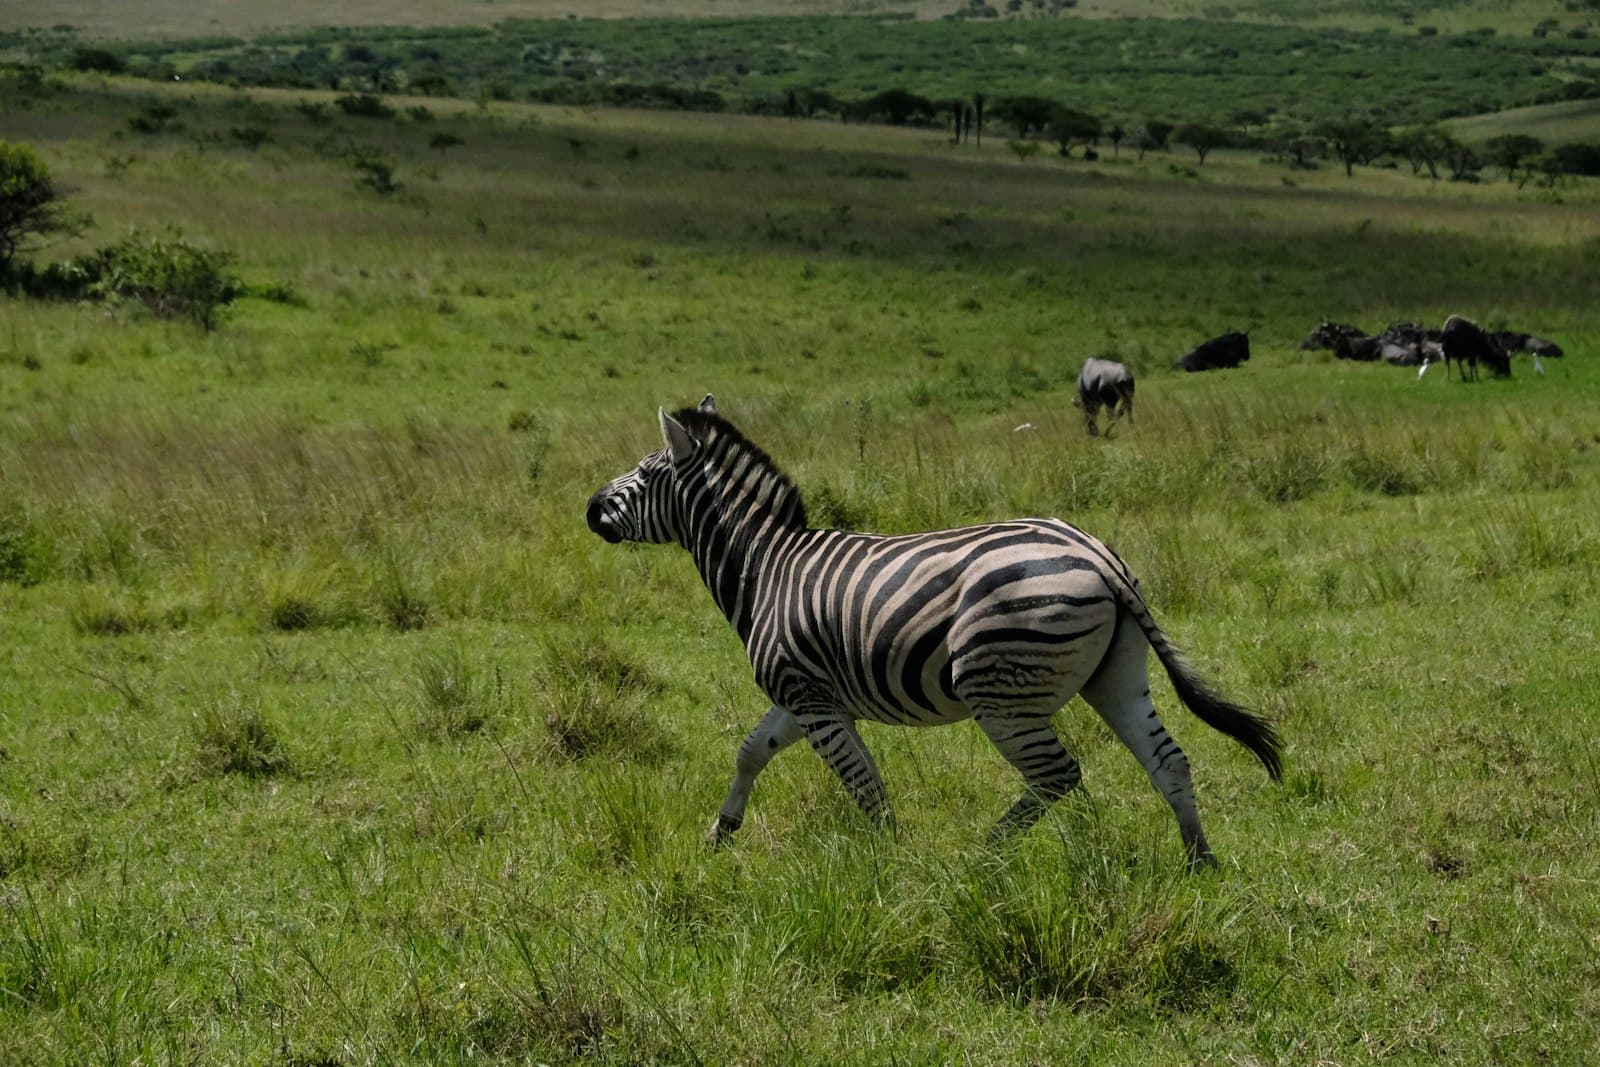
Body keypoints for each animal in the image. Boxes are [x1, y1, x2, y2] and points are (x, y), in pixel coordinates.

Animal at [585, 395, 1282, 867]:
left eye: (646, 474)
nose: (590, 508)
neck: (767, 565)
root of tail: (1096, 553)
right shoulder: (803, 697)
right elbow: (751, 750)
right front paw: (721, 832)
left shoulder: (812, 699)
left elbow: (864, 785)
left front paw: (889, 862)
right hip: (1117, 674)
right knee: (1167, 760)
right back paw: (1198, 862)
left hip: (999, 689)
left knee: (1057, 775)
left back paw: (984, 857)